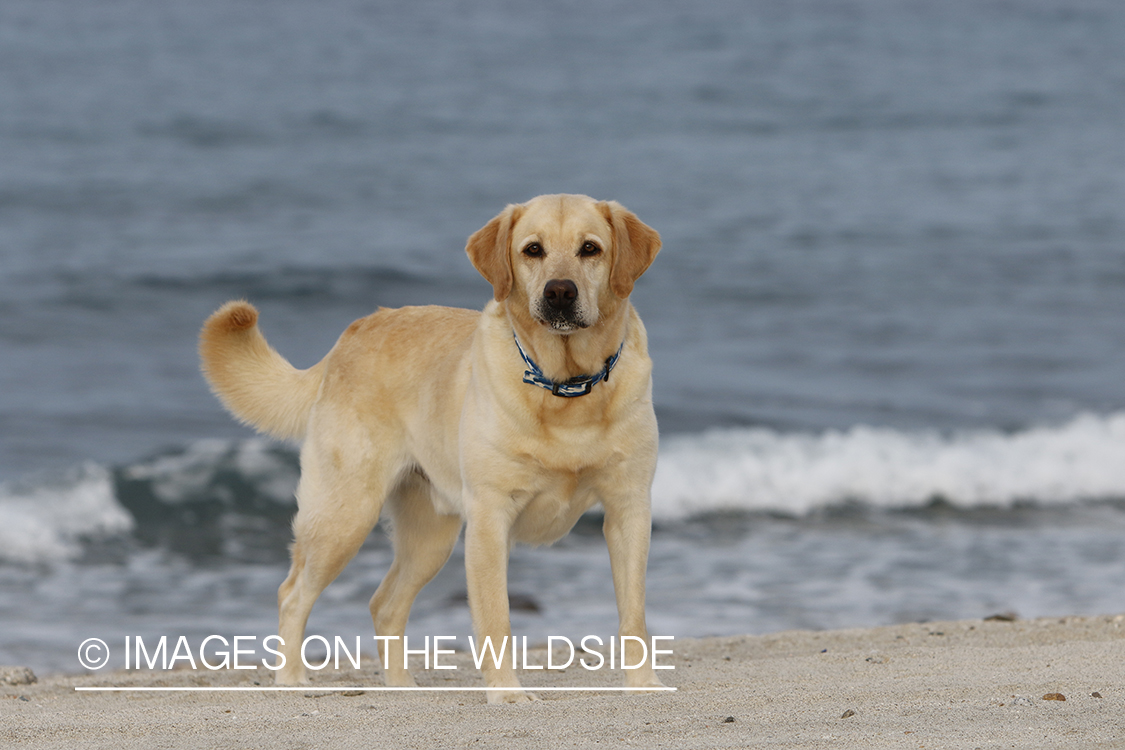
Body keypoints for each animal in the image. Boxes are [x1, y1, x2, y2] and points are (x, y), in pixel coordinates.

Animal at [199, 193, 661, 706]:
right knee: (293, 592)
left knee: (384, 604)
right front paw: (507, 693)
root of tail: (353, 332)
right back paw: (293, 678)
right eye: (533, 250)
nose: (560, 292)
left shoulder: (629, 510)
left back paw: (402, 687)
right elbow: (496, 619)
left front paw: (645, 685)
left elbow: (634, 616)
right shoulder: (490, 519)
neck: (566, 389)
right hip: (345, 515)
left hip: (429, 538)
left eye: (590, 249)